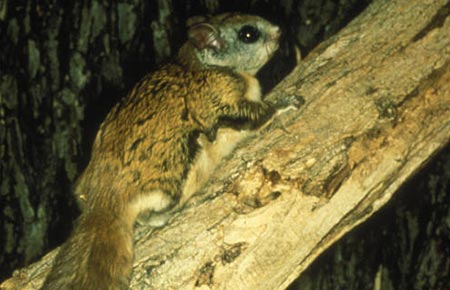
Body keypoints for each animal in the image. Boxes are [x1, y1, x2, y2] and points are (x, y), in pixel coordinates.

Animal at [42, 12, 298, 290]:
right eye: (248, 34)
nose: (280, 30)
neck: (200, 63)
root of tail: (105, 199)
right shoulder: (221, 98)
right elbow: (255, 114)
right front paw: (284, 104)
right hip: (175, 171)